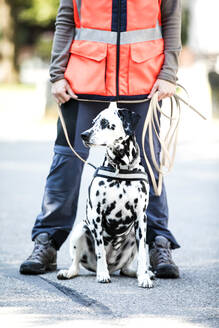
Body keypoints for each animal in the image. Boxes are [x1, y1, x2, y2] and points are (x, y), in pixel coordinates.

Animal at [57, 107, 154, 288]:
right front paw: (102, 274)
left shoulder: (141, 218)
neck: (121, 169)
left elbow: (143, 255)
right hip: (81, 230)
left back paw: (142, 273)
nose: (84, 135)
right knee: (76, 265)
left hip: (135, 235)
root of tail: (113, 265)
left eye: (105, 123)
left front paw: (144, 277)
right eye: (93, 122)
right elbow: (100, 249)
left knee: (126, 269)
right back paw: (69, 272)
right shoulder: (96, 217)